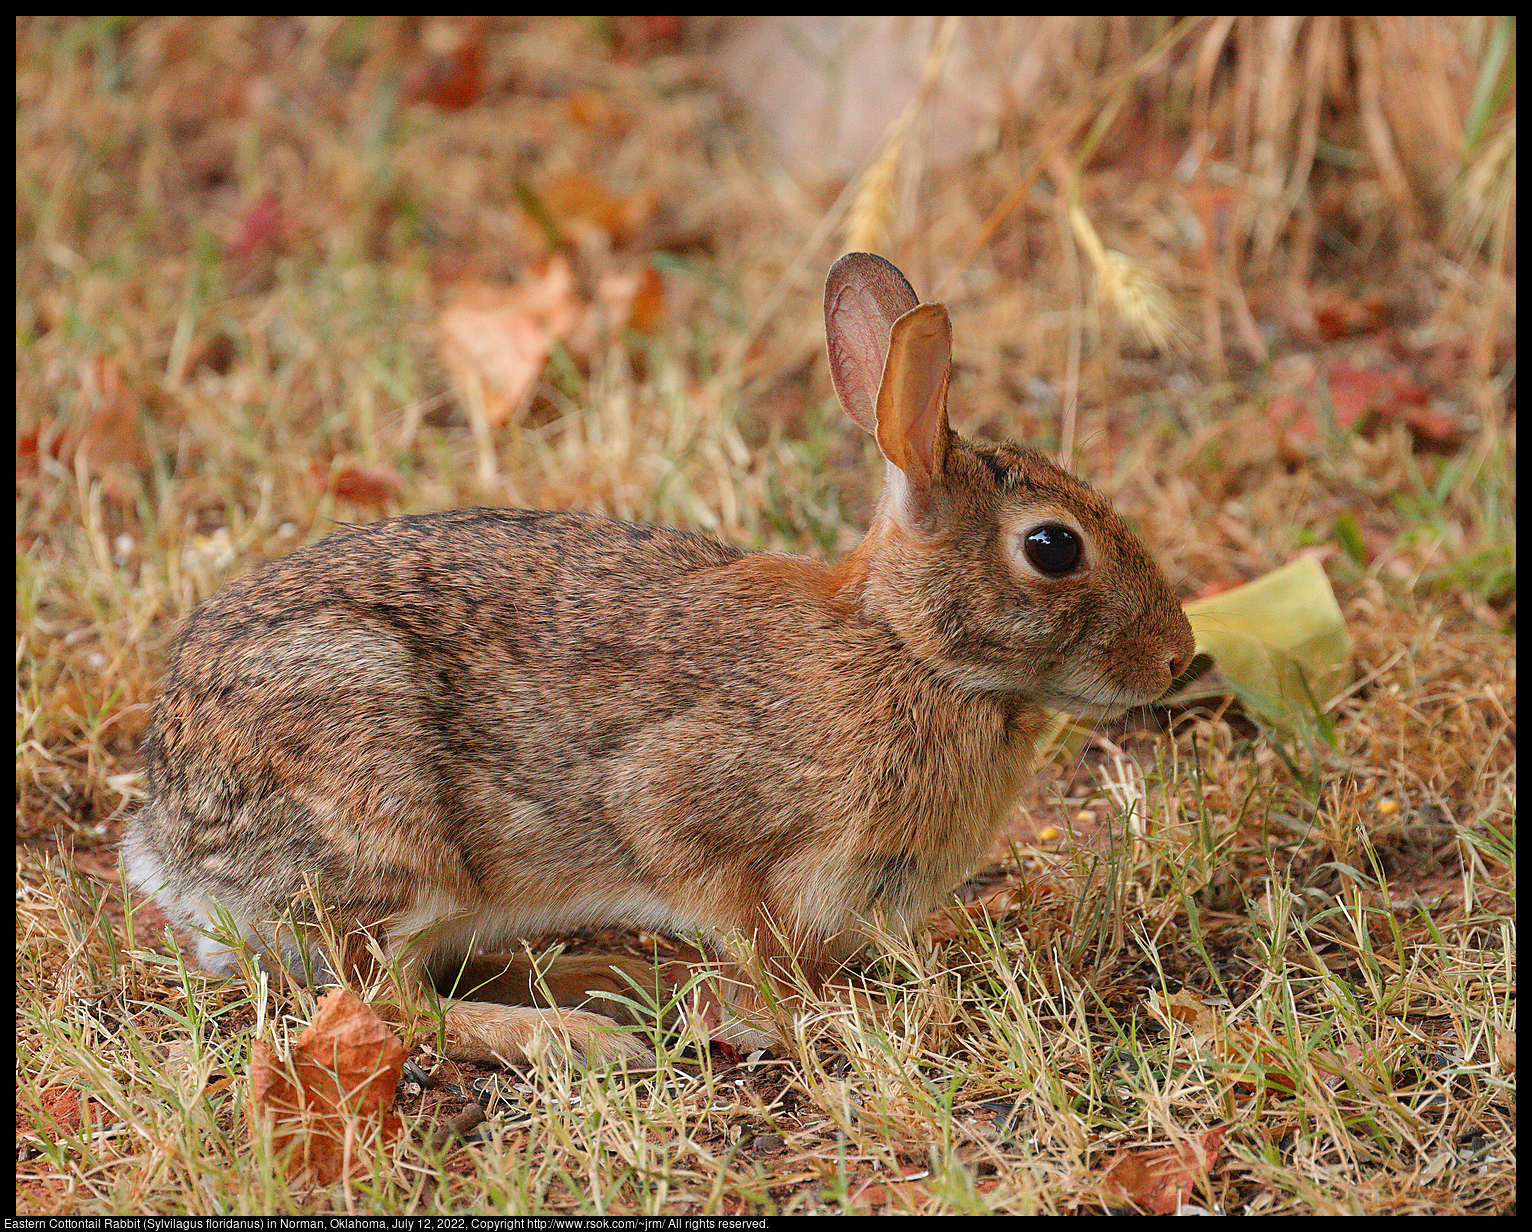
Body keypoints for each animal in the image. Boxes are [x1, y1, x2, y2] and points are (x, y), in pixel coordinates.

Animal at [122, 252, 1194, 1066]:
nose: (1177, 658)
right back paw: (578, 1037)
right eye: (1052, 547)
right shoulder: (689, 808)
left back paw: (610, 982)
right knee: (390, 1000)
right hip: (381, 816)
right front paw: (806, 1013)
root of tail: (170, 847)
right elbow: (742, 917)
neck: (908, 648)